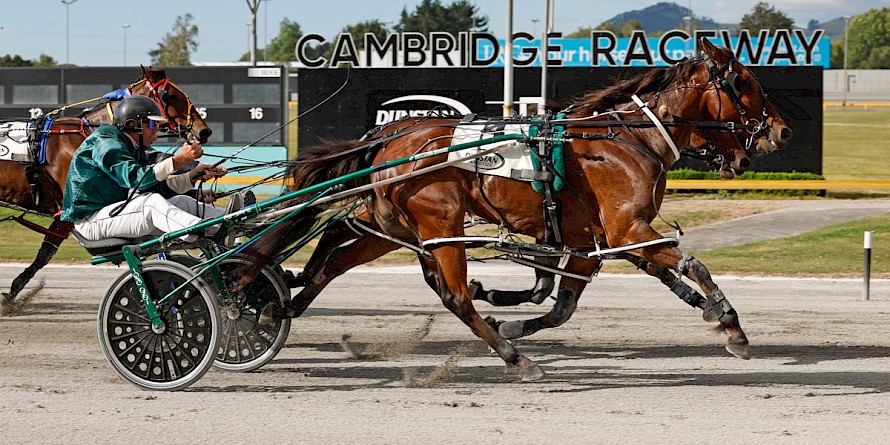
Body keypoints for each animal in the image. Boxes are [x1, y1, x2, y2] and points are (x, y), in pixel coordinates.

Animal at [0, 67, 211, 314]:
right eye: (171, 96)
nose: (204, 131)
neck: (84, 135)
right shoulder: (66, 212)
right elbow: (45, 253)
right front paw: (12, 294)